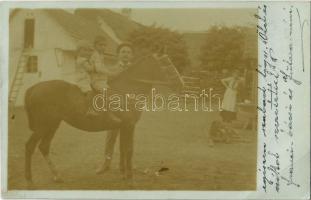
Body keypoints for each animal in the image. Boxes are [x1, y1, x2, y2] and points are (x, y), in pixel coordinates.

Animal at [25, 54, 185, 183]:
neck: (126, 90)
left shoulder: (123, 127)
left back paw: (57, 176)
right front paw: (130, 177)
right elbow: (129, 150)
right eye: (167, 65)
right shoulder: (129, 125)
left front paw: (124, 174)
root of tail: (34, 88)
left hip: (52, 125)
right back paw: (29, 179)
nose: (181, 85)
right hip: (43, 126)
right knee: (30, 146)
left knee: (44, 147)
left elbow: (123, 149)